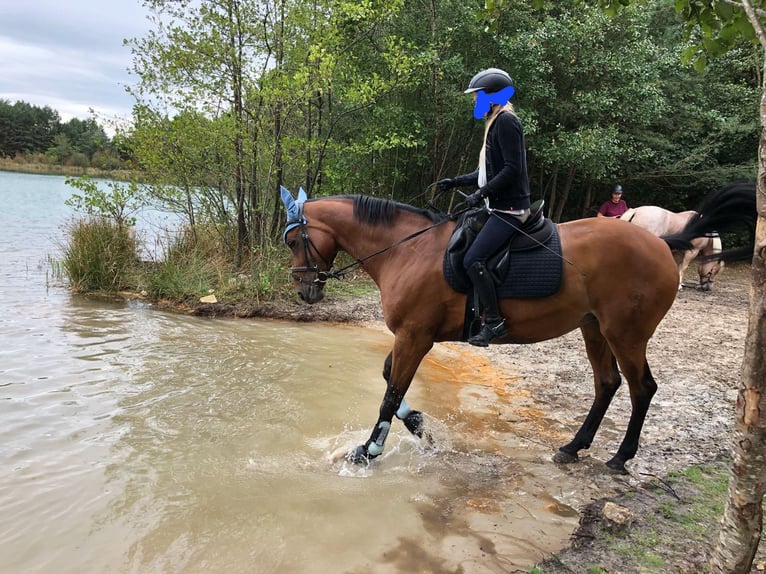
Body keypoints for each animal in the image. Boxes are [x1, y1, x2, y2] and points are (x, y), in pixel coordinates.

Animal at [280, 182, 756, 474]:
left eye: (293, 240)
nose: (306, 290)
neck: (407, 250)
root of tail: (659, 241)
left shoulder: (415, 335)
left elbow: (389, 395)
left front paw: (368, 452)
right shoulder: (412, 337)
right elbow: (389, 382)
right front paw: (420, 426)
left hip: (626, 333)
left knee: (642, 389)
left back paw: (620, 457)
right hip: (595, 329)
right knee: (607, 384)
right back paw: (573, 447)